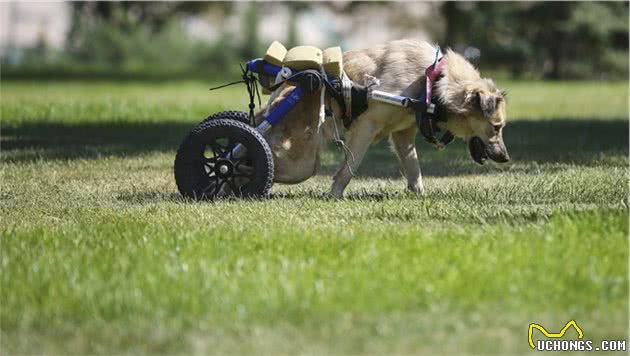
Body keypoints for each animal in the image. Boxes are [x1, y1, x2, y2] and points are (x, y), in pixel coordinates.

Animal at [260, 40, 512, 199]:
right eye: (496, 127)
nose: (506, 158)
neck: (434, 82)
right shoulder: (365, 127)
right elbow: (348, 168)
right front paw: (334, 195)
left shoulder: (403, 136)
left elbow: (414, 169)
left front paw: (420, 196)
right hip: (303, 161)